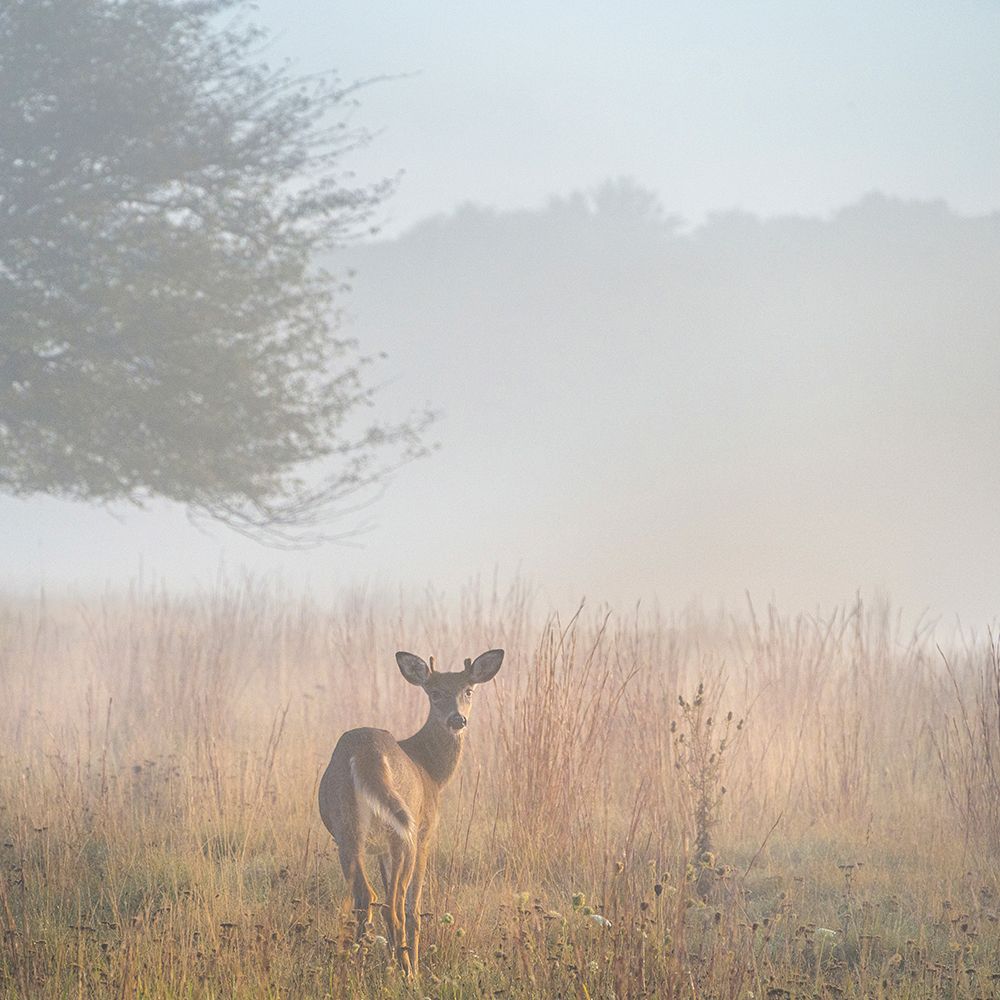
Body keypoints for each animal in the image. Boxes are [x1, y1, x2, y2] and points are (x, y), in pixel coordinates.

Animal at [318, 648, 504, 976]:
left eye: (468, 691)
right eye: (435, 693)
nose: (458, 719)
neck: (431, 771)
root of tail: (366, 754)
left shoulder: (379, 849)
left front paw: (390, 957)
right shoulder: (427, 831)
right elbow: (414, 906)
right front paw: (409, 964)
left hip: (346, 827)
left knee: (367, 896)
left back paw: (359, 964)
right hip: (403, 830)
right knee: (395, 904)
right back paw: (407, 971)